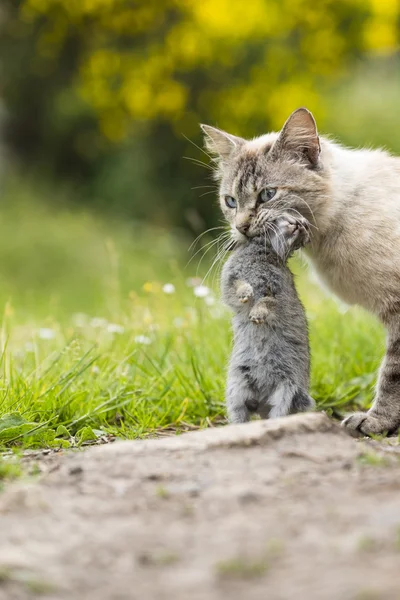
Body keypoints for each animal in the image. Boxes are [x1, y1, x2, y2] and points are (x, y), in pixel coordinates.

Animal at [220, 214, 314, 422]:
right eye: (284, 218)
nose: (302, 224)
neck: (266, 249)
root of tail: (261, 400)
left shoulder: (277, 293)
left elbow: (268, 301)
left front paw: (256, 316)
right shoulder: (230, 280)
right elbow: (238, 286)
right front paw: (246, 294)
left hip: (285, 390)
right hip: (237, 389)